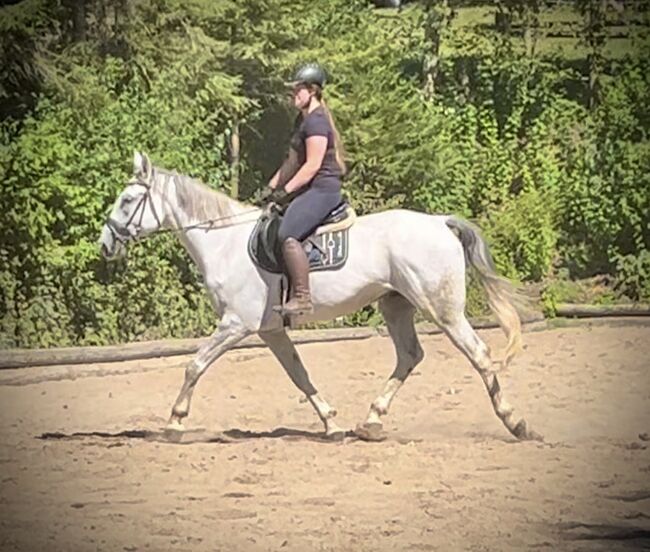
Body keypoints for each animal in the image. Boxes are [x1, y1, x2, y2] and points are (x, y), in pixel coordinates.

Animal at [97, 152, 540, 444]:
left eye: (127, 200)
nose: (104, 245)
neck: (224, 241)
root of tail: (439, 222)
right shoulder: (270, 330)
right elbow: (300, 374)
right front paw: (331, 422)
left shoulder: (236, 324)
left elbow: (195, 365)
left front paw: (174, 423)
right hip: (396, 304)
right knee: (410, 356)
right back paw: (371, 421)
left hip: (442, 309)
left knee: (478, 354)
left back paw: (516, 423)